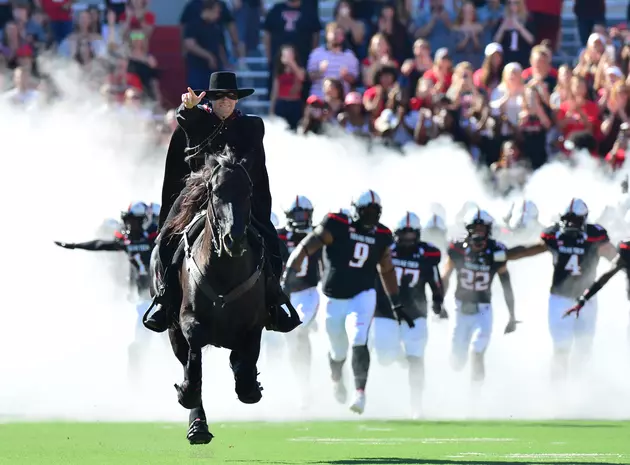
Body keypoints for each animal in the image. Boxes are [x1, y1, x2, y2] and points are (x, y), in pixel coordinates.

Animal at [157, 150, 270, 444]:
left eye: (248, 191)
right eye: (216, 191)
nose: (234, 239)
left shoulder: (254, 325)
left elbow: (247, 363)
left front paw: (248, 383)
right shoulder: (187, 321)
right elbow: (194, 355)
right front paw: (188, 393)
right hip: (173, 333)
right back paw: (197, 425)